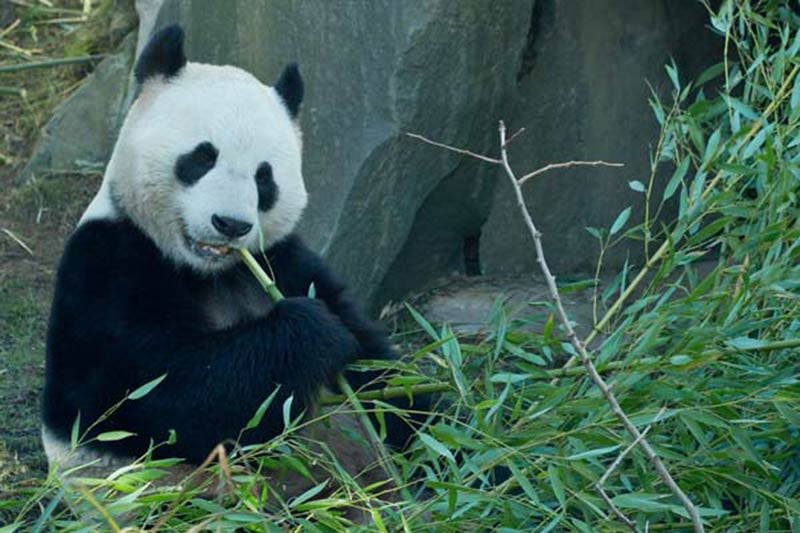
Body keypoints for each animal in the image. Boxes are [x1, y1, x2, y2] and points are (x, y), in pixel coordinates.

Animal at [41, 25, 423, 496]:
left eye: (265, 177)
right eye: (202, 157)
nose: (230, 224)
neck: (208, 272)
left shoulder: (284, 261)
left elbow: (385, 378)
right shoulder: (106, 267)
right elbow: (154, 399)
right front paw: (313, 331)